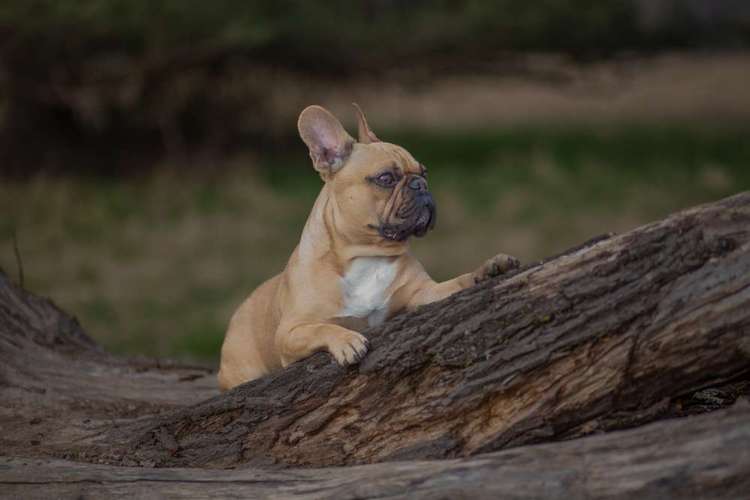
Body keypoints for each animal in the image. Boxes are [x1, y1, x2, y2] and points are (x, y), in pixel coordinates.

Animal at [220, 103, 520, 388]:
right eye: (386, 178)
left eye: (424, 172)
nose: (421, 185)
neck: (366, 255)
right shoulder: (290, 332)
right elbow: (321, 328)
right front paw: (347, 341)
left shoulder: (423, 294)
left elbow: (456, 282)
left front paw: (487, 270)